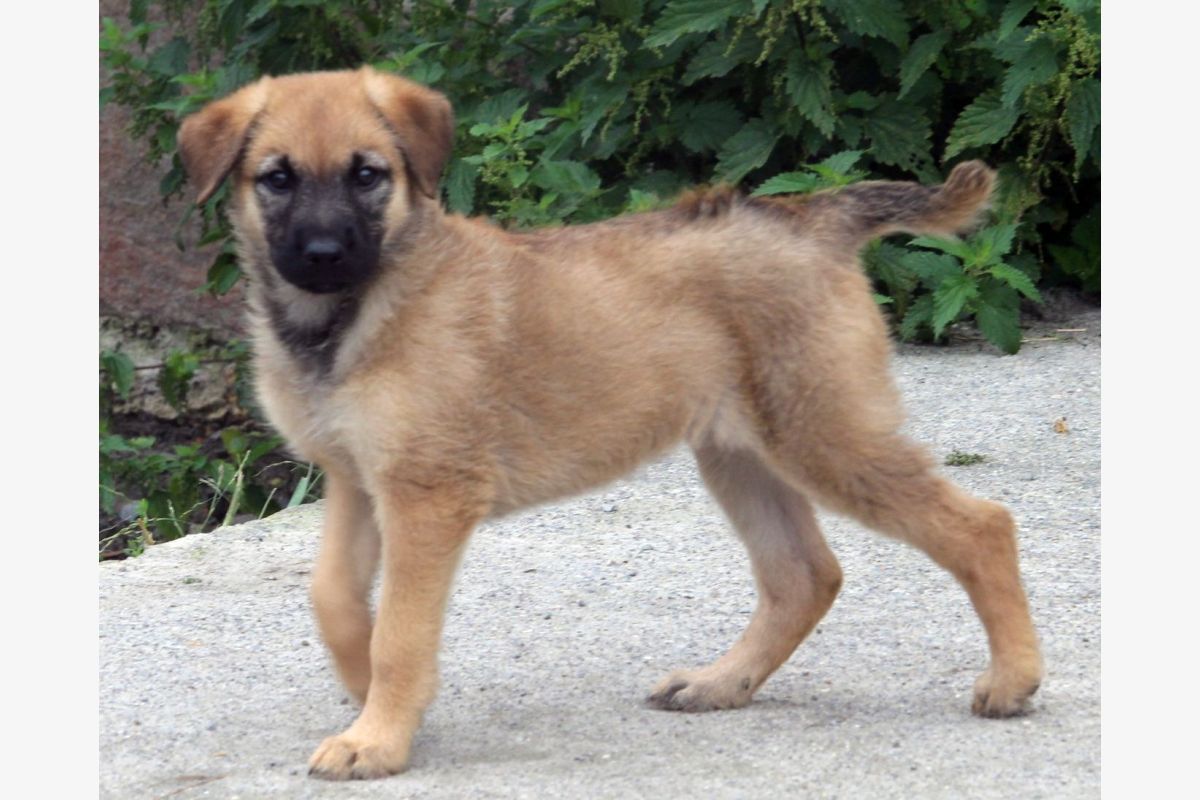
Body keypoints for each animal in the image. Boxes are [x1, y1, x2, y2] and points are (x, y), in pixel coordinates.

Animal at [175, 68, 1041, 782]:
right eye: (277, 178)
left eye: (367, 175)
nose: (323, 253)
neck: (352, 317)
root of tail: (808, 215)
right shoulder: (359, 483)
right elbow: (334, 599)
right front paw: (368, 696)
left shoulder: (428, 494)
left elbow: (402, 631)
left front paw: (379, 736)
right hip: (739, 453)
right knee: (805, 576)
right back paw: (721, 683)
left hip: (826, 436)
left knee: (980, 526)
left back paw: (1015, 678)